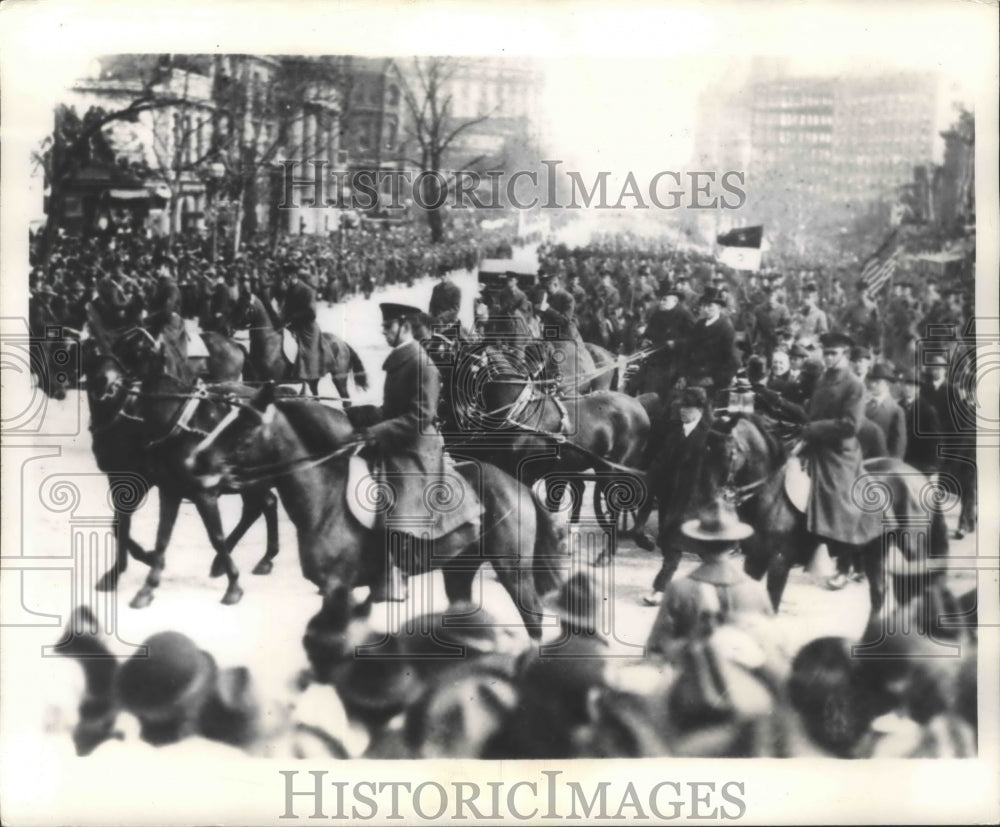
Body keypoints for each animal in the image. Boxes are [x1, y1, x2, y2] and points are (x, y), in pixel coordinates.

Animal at [85, 352, 282, 612]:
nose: (104, 385)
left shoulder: (199, 492)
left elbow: (215, 536)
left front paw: (233, 586)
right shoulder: (148, 485)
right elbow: (136, 531)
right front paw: (127, 573)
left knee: (260, 505)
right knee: (263, 504)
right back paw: (256, 560)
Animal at [184, 384, 568, 644]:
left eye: (243, 426)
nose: (195, 460)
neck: (326, 496)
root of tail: (518, 486)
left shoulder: (339, 588)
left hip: (513, 570)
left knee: (533, 621)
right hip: (459, 569)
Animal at [233, 292, 368, 398]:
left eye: (245, 307)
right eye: (237, 305)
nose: (230, 327)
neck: (269, 342)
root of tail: (342, 343)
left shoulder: (272, 383)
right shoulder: (255, 383)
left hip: (339, 378)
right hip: (314, 380)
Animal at [684, 414, 948, 620]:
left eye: (728, 452)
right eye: (704, 450)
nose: (704, 499)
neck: (771, 492)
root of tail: (918, 477)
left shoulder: (780, 561)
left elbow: (772, 603)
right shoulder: (754, 558)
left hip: (913, 549)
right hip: (875, 550)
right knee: (879, 593)